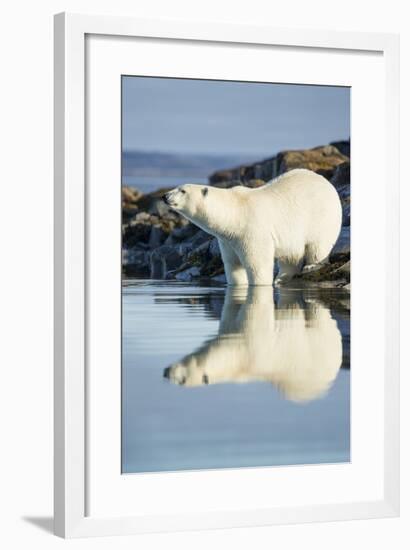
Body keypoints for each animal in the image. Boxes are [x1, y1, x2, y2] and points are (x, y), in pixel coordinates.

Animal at [163, 169, 342, 286]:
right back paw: (282, 278)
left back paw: (311, 265)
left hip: (321, 216)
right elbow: (232, 265)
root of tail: (327, 182)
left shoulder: (252, 230)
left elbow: (258, 264)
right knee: (290, 256)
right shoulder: (227, 240)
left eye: (182, 191)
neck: (235, 213)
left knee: (319, 244)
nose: (165, 196)